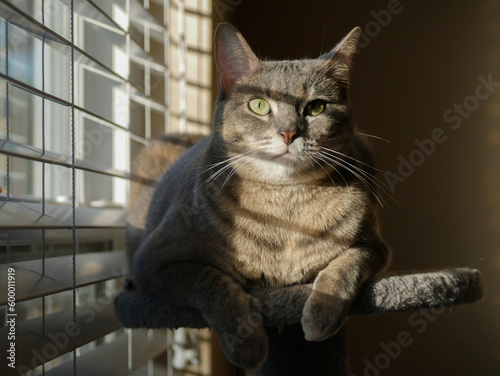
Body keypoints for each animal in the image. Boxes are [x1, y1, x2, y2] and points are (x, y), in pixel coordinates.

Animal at [126, 22, 390, 370]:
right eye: (259, 105)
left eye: (316, 107)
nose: (289, 133)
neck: (285, 211)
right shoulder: (155, 262)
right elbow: (210, 282)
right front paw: (246, 342)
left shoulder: (376, 246)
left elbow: (347, 265)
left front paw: (321, 313)